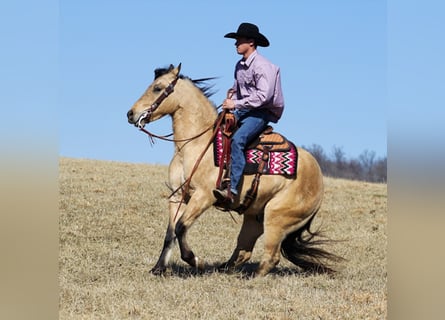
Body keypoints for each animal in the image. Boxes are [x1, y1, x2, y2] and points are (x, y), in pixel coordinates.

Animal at [125, 63, 340, 278]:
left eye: (158, 88)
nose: (130, 114)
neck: (195, 144)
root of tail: (318, 175)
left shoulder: (203, 197)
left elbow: (181, 228)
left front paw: (196, 261)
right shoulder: (177, 196)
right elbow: (170, 233)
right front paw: (158, 268)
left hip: (276, 216)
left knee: (271, 256)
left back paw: (249, 277)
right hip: (254, 217)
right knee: (244, 251)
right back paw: (223, 269)